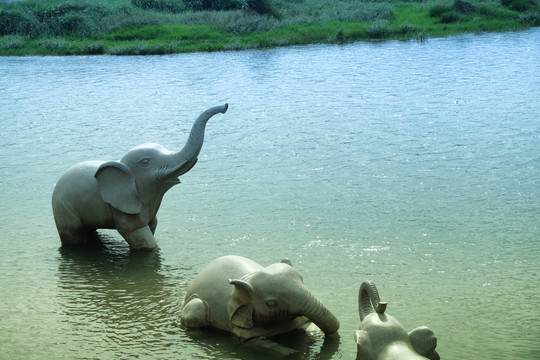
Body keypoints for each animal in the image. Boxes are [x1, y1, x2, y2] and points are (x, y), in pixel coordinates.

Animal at [51, 103, 228, 250]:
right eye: (145, 162)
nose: (225, 106)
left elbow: (153, 224)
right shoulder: (123, 210)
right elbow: (140, 236)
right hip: (64, 211)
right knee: (73, 235)